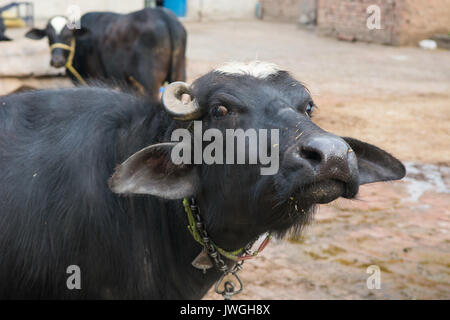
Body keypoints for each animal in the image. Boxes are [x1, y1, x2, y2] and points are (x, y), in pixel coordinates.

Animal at [24, 8, 186, 99]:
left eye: (68, 36)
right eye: (48, 37)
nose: (57, 60)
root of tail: (164, 15)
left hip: (150, 83)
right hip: (178, 75)